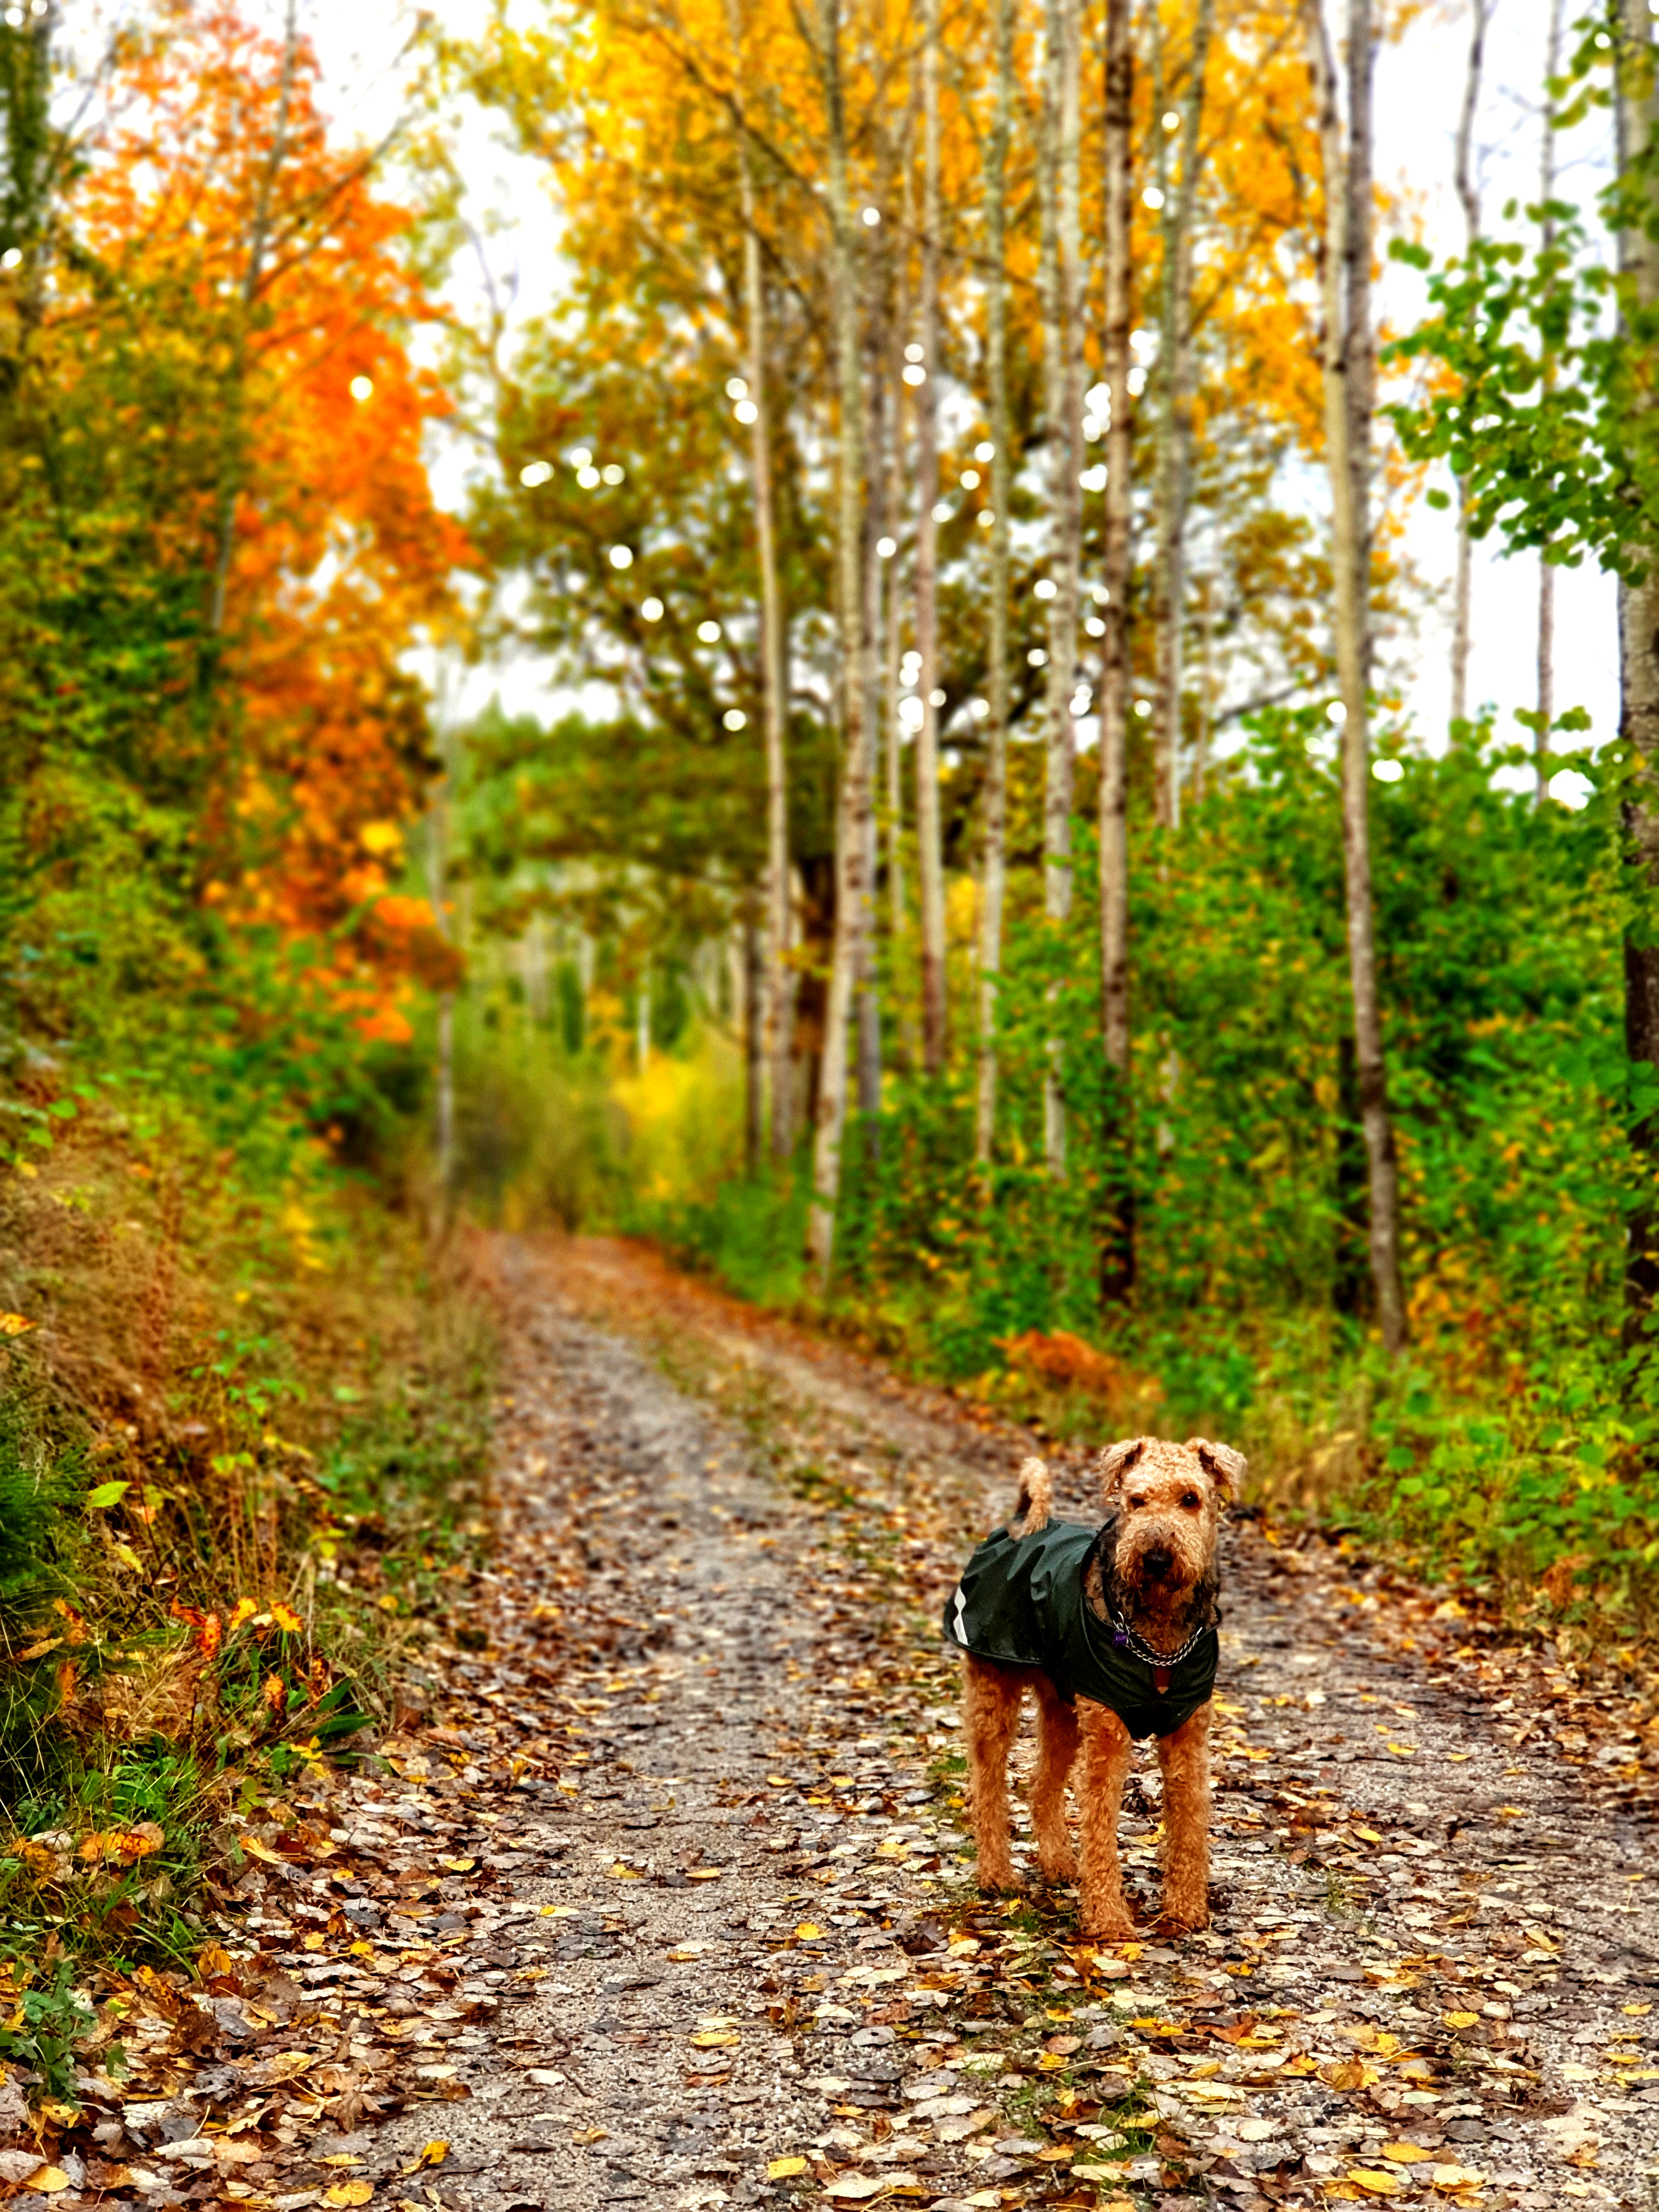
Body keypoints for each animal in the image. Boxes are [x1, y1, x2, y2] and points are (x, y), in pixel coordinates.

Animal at [942, 1433, 1238, 1938]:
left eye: (1190, 1499)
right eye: (1136, 1501)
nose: (1156, 1559)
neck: (1158, 1639)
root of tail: (1012, 1528)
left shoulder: (1188, 1739)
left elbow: (1190, 1824)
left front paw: (1186, 1909)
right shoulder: (1107, 1740)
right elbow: (1100, 1828)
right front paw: (1107, 1918)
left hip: (1063, 1709)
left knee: (1040, 1784)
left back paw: (1059, 1863)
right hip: (994, 1694)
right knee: (987, 1785)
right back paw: (997, 1875)